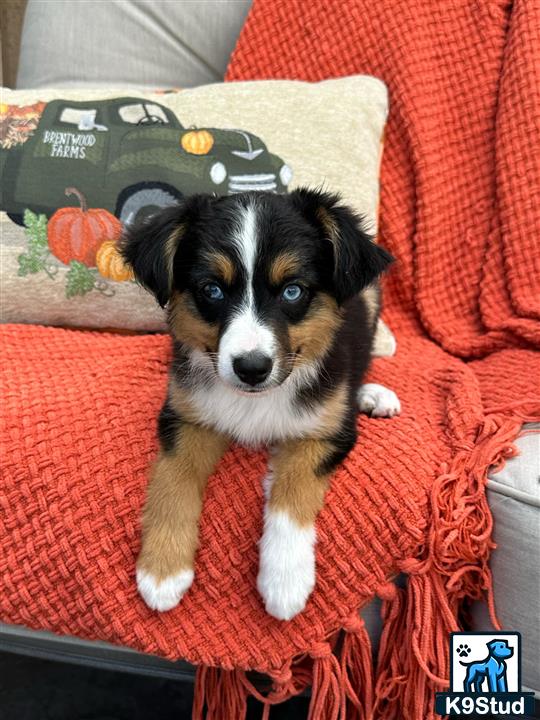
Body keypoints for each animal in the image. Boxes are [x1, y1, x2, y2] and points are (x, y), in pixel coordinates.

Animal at [123, 188, 400, 620]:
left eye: (292, 290)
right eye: (212, 290)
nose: (252, 368)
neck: (255, 399)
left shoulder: (325, 434)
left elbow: (293, 491)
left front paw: (285, 581)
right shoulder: (183, 416)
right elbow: (174, 478)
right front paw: (162, 569)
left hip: (369, 297)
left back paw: (373, 395)